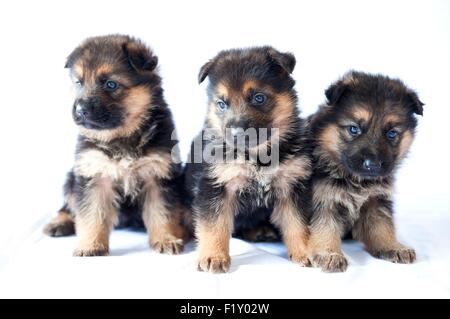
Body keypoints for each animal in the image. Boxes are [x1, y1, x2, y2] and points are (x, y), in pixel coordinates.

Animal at [43, 33, 188, 256]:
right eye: (79, 82)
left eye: (110, 84)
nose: (80, 110)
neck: (122, 136)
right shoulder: (94, 174)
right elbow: (92, 214)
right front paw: (90, 245)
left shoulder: (158, 174)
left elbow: (162, 212)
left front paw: (166, 239)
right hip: (71, 177)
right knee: (68, 205)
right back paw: (58, 223)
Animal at [185, 46, 312, 274]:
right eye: (222, 104)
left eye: (258, 98)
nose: (236, 134)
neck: (258, 156)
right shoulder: (216, 186)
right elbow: (214, 225)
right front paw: (213, 256)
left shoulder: (292, 187)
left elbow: (297, 224)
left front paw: (305, 251)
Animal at [308, 72, 424, 272]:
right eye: (354, 129)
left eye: (392, 134)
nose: (373, 164)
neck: (357, 181)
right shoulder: (324, 198)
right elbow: (325, 227)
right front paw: (330, 254)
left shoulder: (376, 200)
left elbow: (383, 226)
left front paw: (392, 246)